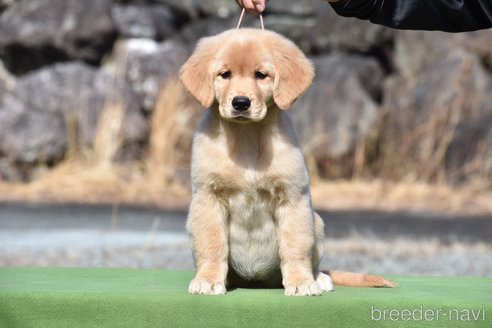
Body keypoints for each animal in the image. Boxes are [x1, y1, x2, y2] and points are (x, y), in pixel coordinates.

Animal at [179, 27, 394, 294]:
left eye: (261, 75)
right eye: (224, 74)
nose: (241, 103)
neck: (247, 136)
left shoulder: (292, 197)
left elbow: (295, 247)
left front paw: (301, 283)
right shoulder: (208, 196)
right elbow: (212, 245)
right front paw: (208, 280)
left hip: (317, 221)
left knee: (312, 261)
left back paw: (319, 278)